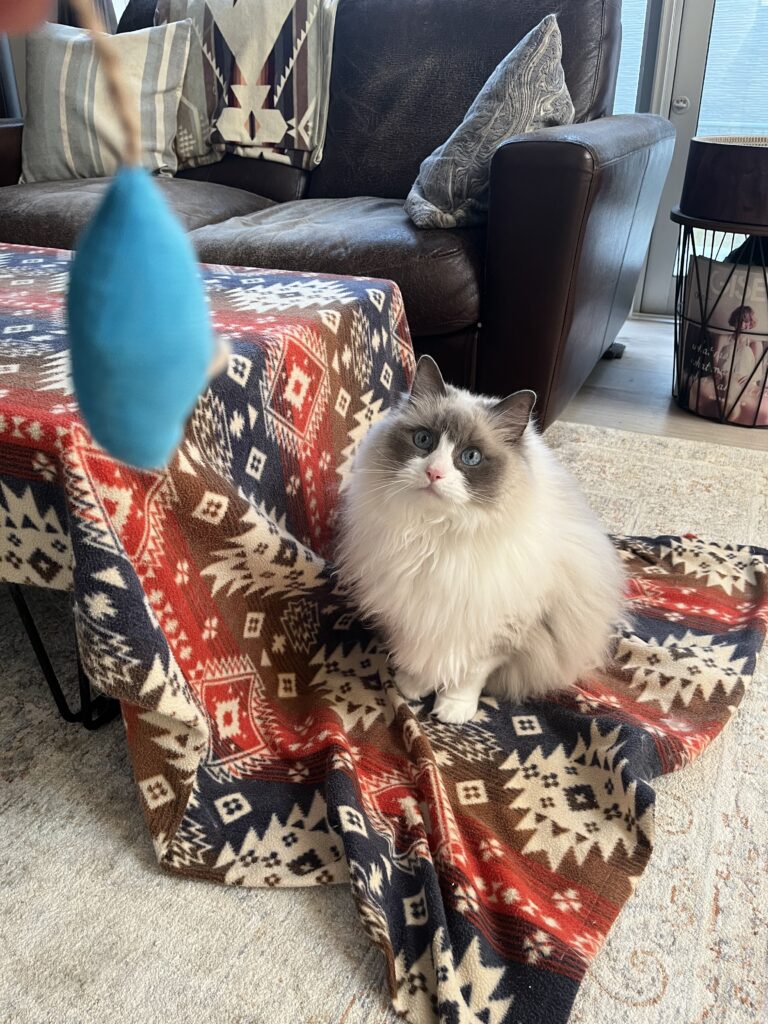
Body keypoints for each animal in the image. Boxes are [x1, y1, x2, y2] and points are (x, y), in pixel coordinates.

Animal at [336, 355, 624, 725]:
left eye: (470, 457)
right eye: (423, 440)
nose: (434, 473)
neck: (435, 536)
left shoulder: (496, 629)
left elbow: (469, 674)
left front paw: (452, 708)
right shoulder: (409, 610)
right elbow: (418, 657)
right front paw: (413, 686)